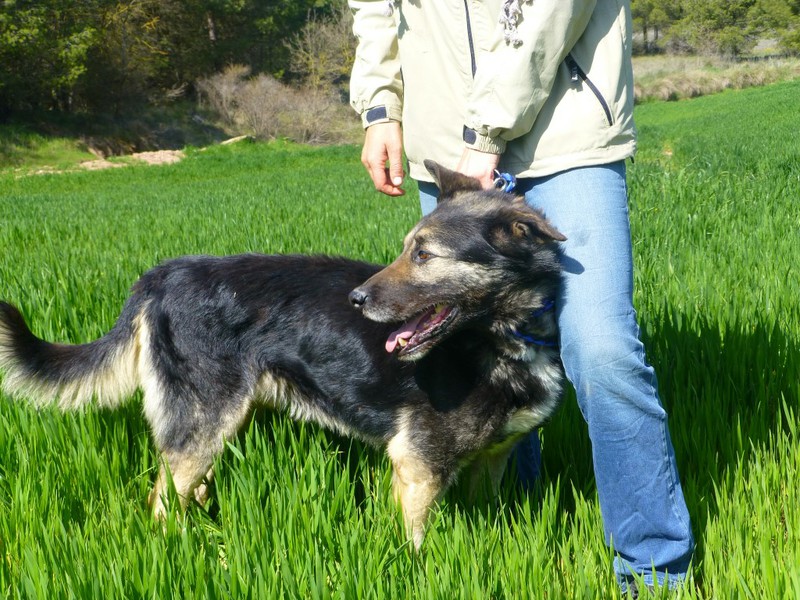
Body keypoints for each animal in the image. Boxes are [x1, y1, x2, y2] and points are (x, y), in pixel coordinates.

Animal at [0, 160, 565, 548]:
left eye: (424, 255)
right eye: (408, 248)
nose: (356, 299)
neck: (502, 337)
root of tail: (160, 277)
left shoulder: (492, 459)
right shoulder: (417, 465)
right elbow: (417, 546)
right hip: (203, 421)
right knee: (162, 499)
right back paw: (175, 550)